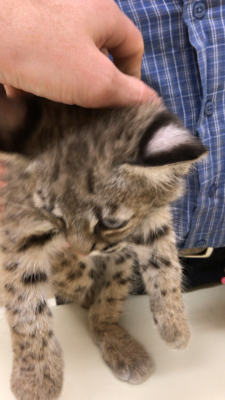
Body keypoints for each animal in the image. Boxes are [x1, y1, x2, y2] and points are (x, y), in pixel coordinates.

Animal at [0, 92, 207, 398]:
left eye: (111, 223)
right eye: (55, 215)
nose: (80, 250)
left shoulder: (150, 213)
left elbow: (163, 255)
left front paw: (174, 324)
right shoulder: (16, 229)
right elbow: (25, 306)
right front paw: (35, 379)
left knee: (110, 293)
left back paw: (114, 335)